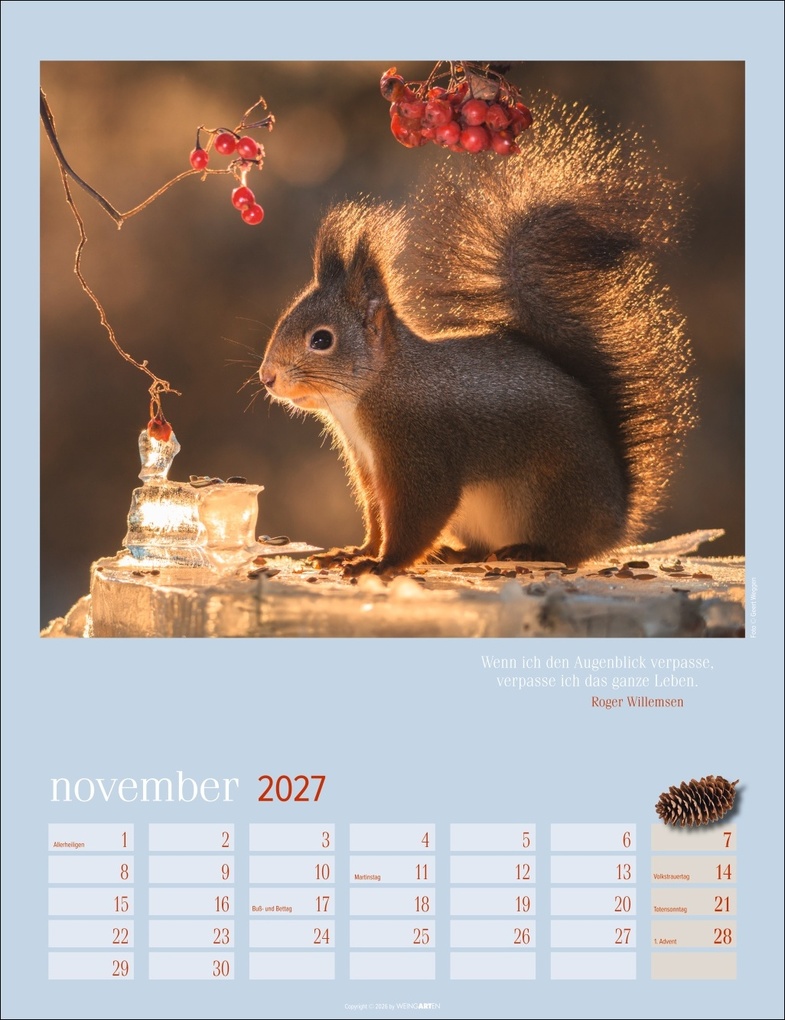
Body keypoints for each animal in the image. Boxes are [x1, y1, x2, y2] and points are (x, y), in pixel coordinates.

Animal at [260, 99, 695, 575]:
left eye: (322, 340)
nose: (267, 377)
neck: (376, 388)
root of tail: (616, 518)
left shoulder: (420, 451)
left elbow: (418, 514)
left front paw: (383, 564)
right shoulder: (369, 469)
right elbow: (377, 516)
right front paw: (357, 552)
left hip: (551, 499)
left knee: (568, 549)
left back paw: (530, 550)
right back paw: (459, 552)